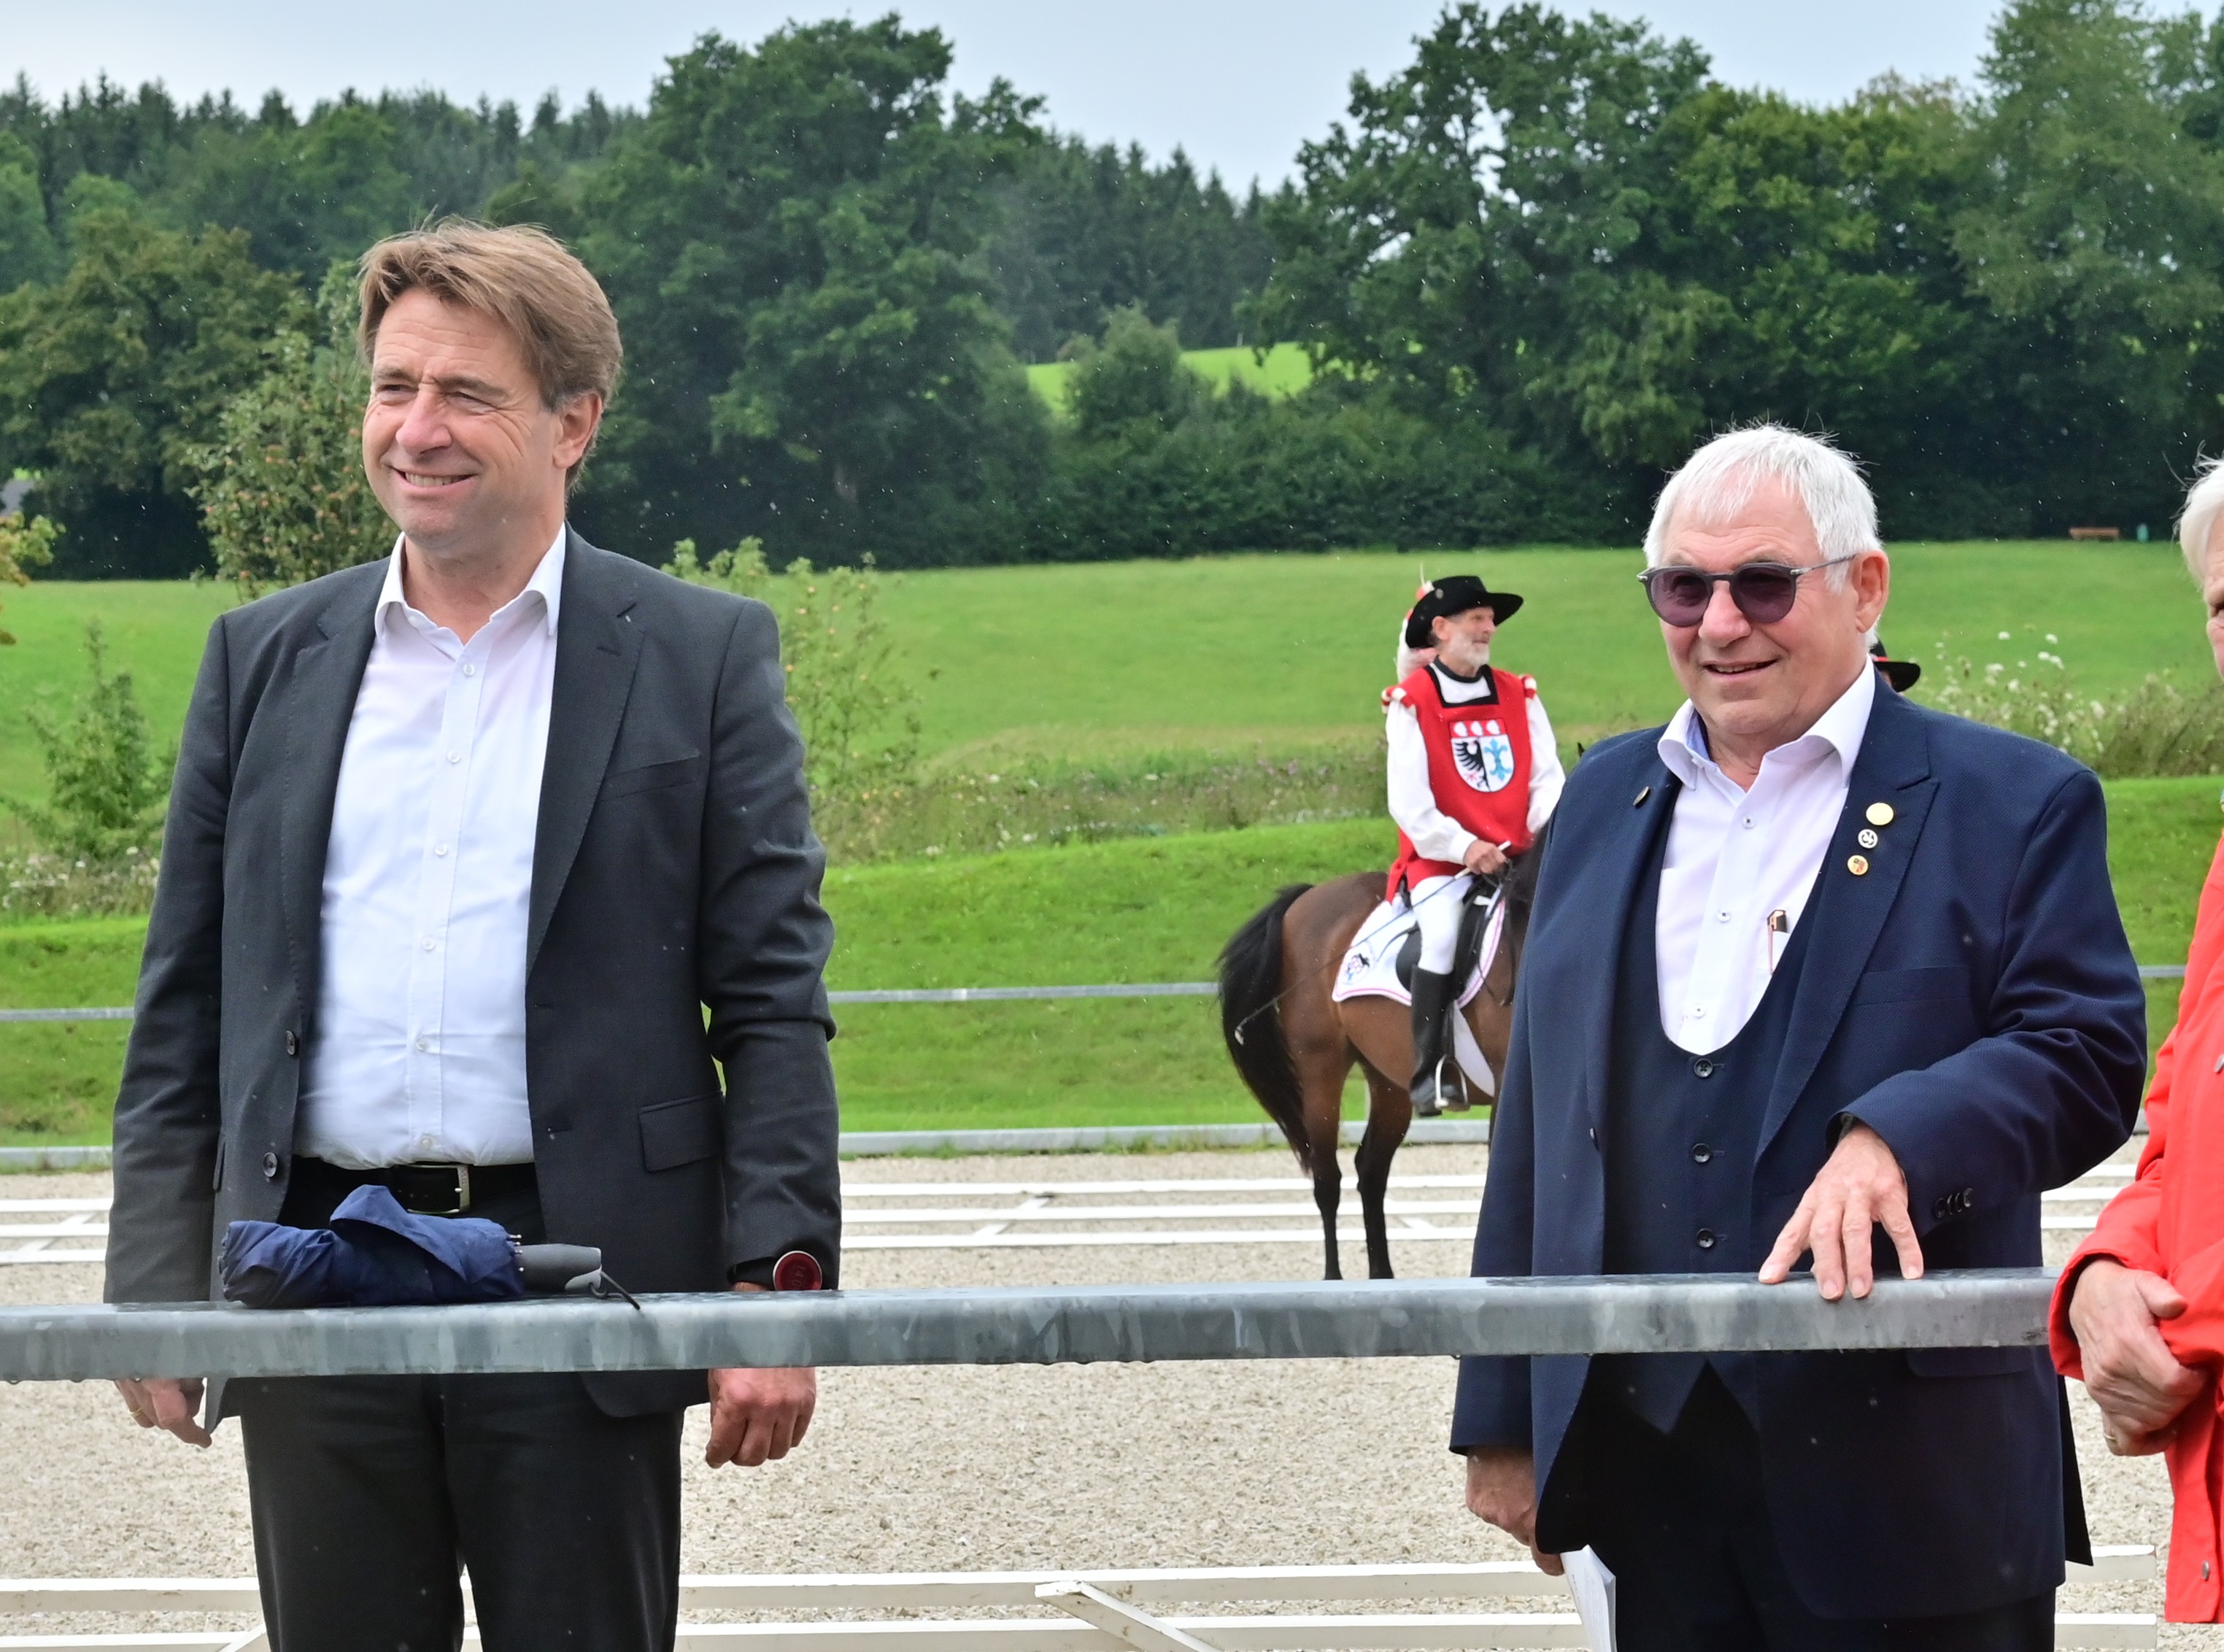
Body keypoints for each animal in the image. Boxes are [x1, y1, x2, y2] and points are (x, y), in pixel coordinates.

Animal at [1214, 832, 1545, 1280]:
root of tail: (1308, 897)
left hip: (1390, 1082)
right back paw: (1334, 1280)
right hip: (1321, 1070)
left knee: (1370, 1171)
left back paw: (1382, 1277)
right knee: (1327, 1178)